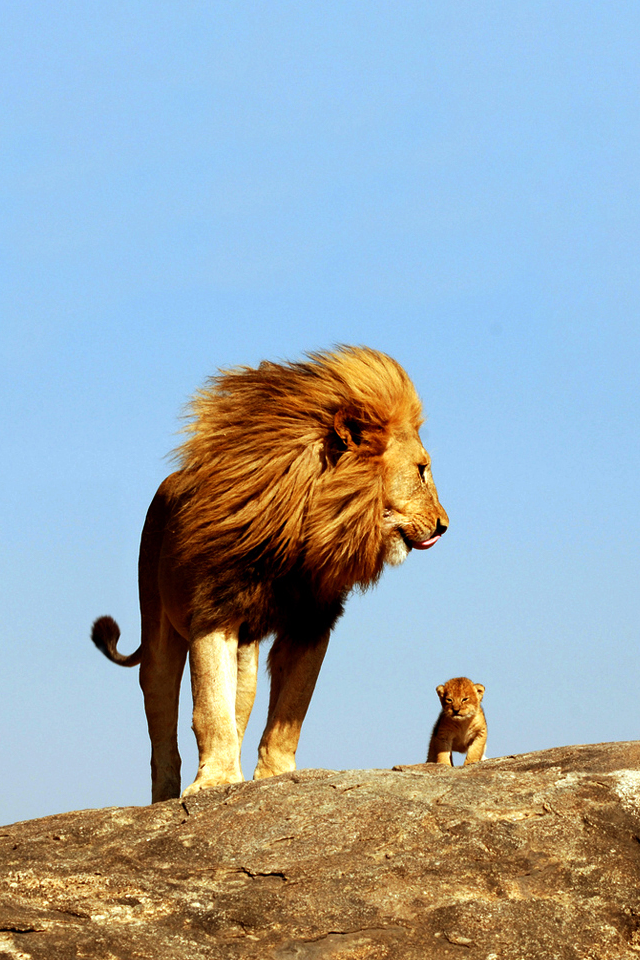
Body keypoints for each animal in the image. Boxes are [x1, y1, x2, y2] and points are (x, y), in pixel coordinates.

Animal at [92, 346, 448, 804]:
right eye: (422, 470)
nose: (444, 525)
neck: (304, 528)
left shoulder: (312, 622)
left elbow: (290, 711)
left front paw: (273, 777)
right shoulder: (214, 612)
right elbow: (210, 708)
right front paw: (215, 782)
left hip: (247, 657)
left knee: (239, 705)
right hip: (157, 633)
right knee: (162, 721)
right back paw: (166, 796)